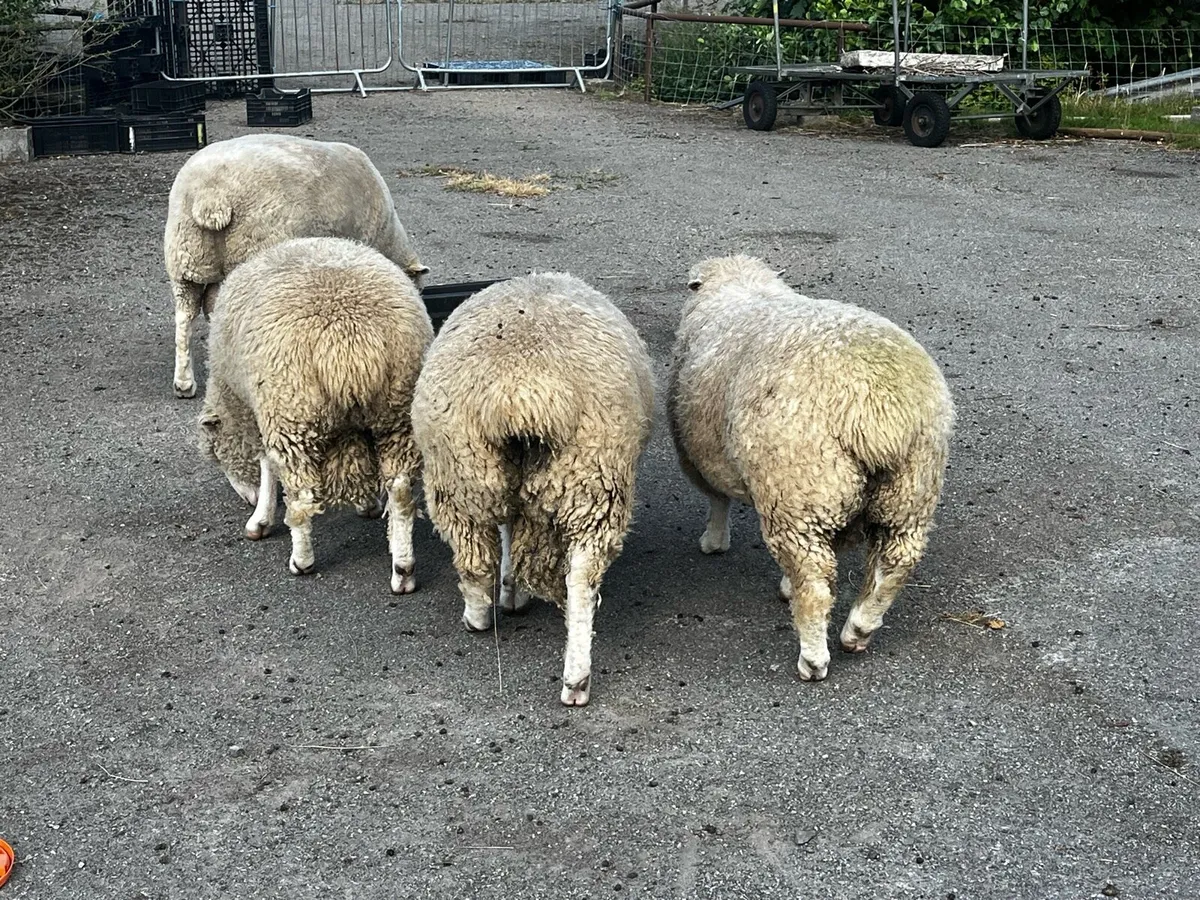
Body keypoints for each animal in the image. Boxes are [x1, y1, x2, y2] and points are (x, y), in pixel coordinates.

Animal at [165, 133, 429, 400]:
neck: (388, 237)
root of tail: (211, 197)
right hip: (248, 252)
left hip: (185, 260)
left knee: (185, 317)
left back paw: (184, 383)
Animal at [198, 236, 434, 594]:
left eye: (217, 455)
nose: (246, 497)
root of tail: (351, 340)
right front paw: (368, 505)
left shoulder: (260, 411)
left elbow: (266, 464)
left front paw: (260, 517)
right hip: (397, 413)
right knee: (402, 492)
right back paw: (403, 569)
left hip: (293, 412)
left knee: (302, 497)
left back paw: (302, 560)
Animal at [411, 273, 654, 707]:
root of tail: (521, 391)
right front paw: (514, 588)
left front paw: (511, 589)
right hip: (575, 477)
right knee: (572, 577)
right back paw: (573, 676)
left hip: (465, 473)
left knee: (484, 560)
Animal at [668, 255, 955, 682]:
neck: (742, 287)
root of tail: (878, 412)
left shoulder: (699, 453)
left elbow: (717, 499)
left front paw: (714, 541)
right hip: (908, 488)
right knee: (895, 562)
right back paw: (858, 629)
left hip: (797, 487)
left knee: (815, 586)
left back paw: (814, 658)